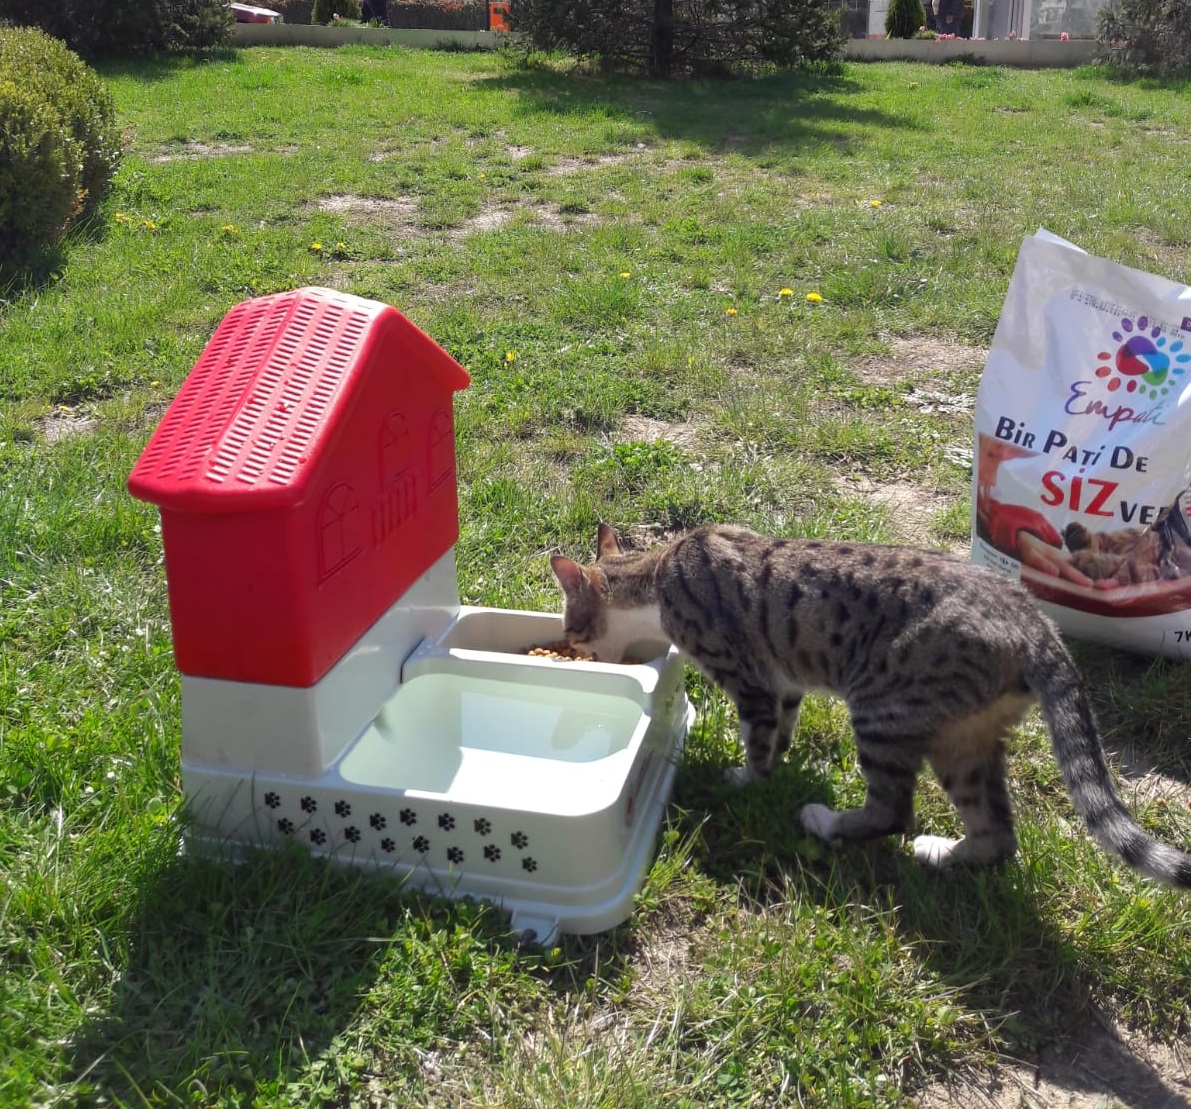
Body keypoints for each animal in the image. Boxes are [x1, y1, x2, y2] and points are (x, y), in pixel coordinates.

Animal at [552, 524, 1191, 891]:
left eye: (573, 630)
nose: (570, 649)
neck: (658, 576)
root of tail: (1036, 620)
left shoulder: (749, 678)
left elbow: (757, 742)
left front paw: (743, 780)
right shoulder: (784, 680)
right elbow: (781, 731)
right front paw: (776, 764)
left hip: (881, 710)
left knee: (893, 811)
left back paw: (827, 822)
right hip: (964, 740)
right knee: (997, 834)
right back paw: (942, 852)